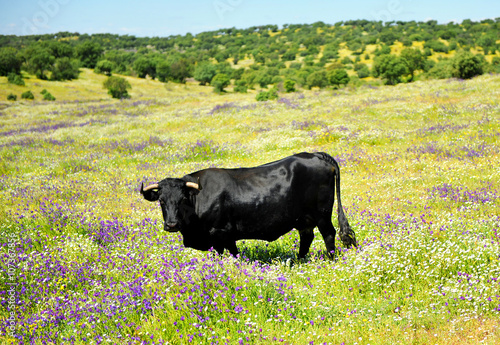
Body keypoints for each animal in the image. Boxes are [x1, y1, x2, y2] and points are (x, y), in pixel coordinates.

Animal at [141, 152, 358, 256]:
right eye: (161, 200)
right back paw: (298, 260)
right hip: (303, 219)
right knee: (307, 238)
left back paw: (330, 260)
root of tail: (315, 155)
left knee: (329, 235)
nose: (171, 224)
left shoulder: (221, 234)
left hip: (322, 214)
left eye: (182, 199)